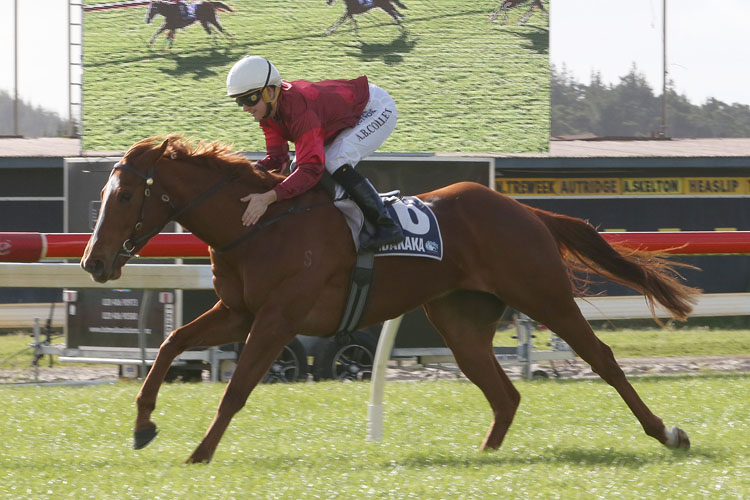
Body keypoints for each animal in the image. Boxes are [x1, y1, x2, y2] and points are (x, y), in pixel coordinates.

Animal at [82, 135, 700, 462]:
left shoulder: (278, 318)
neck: (256, 225)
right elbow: (169, 346)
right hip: (460, 321)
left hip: (544, 295)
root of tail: (526, 210)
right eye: (104, 193)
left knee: (602, 359)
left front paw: (200, 453)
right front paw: (143, 426)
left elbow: (235, 390)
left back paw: (667, 432)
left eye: (128, 194)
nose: (93, 262)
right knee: (504, 394)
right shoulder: (239, 313)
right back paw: (485, 455)